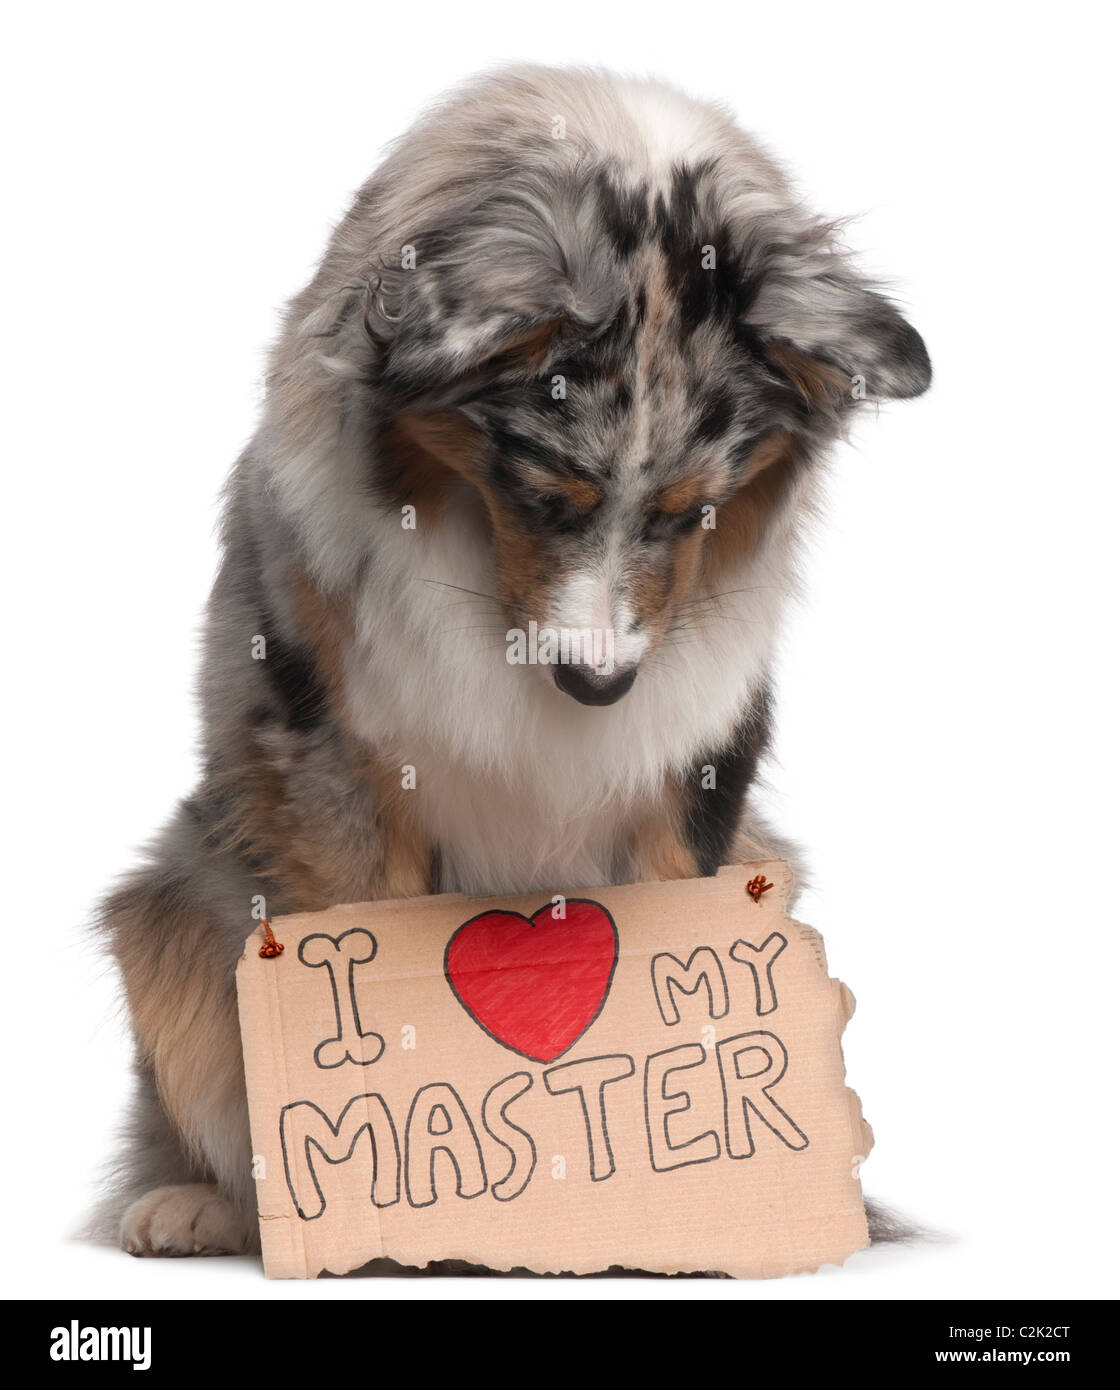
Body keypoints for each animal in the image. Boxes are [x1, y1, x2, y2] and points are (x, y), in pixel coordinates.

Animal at [96, 67, 933, 1262]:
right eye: (545, 497)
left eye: (690, 513)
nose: (598, 684)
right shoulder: (336, 759)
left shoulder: (695, 773)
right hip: (169, 903)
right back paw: (193, 1204)